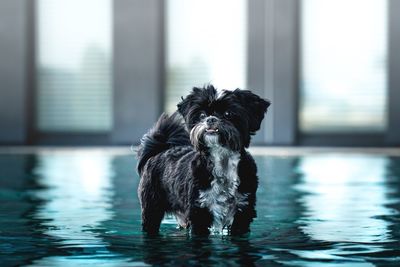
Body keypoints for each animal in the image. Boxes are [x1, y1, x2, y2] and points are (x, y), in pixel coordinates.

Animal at [136, 86, 270, 237]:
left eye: (228, 113)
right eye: (202, 115)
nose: (210, 119)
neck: (222, 160)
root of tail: (160, 149)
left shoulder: (243, 212)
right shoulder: (199, 211)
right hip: (151, 208)